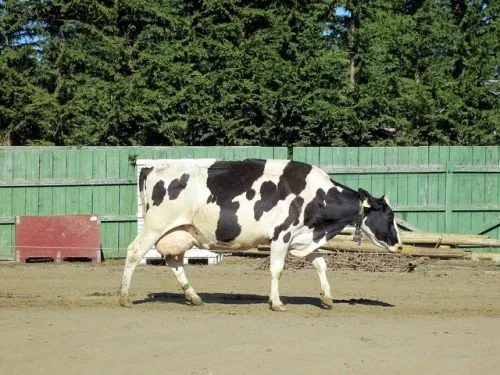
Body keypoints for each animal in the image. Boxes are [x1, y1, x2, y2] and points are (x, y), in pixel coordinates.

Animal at [120, 159, 402, 312]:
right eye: (389, 217)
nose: (399, 246)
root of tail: (152, 168)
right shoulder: (281, 235)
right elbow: (277, 270)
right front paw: (276, 302)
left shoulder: (301, 238)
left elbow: (321, 263)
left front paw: (328, 299)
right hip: (155, 225)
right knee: (134, 252)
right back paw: (124, 297)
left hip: (180, 231)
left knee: (174, 261)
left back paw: (195, 298)